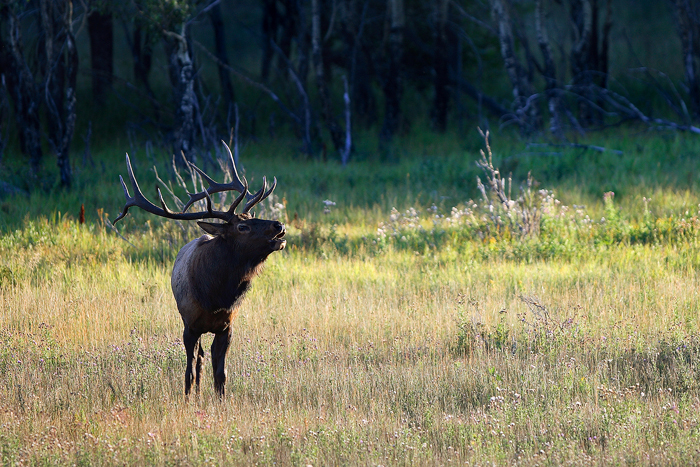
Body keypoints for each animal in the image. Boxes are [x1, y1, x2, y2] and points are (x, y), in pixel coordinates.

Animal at [113, 142, 286, 399]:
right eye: (242, 226)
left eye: (252, 217)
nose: (279, 225)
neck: (216, 296)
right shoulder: (190, 325)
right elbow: (189, 372)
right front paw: (188, 399)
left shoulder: (227, 326)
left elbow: (221, 374)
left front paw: (220, 401)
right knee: (198, 361)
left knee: (205, 359)